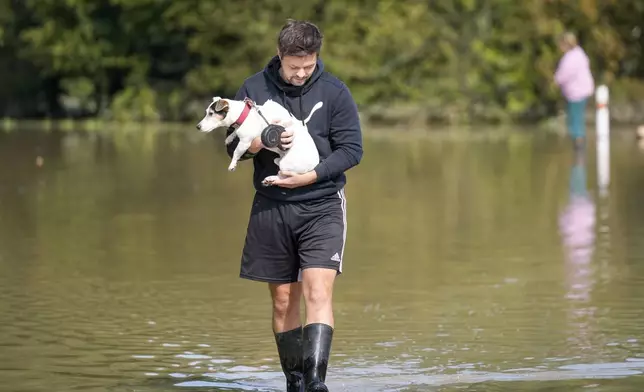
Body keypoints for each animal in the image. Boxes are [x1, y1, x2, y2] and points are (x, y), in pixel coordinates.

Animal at [192, 95, 320, 186]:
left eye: (211, 113)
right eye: (206, 112)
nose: (197, 127)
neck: (244, 115)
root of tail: (314, 165)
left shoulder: (244, 142)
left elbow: (236, 153)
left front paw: (232, 164)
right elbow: (235, 132)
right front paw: (230, 137)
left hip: (287, 165)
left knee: (284, 176)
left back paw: (272, 177)